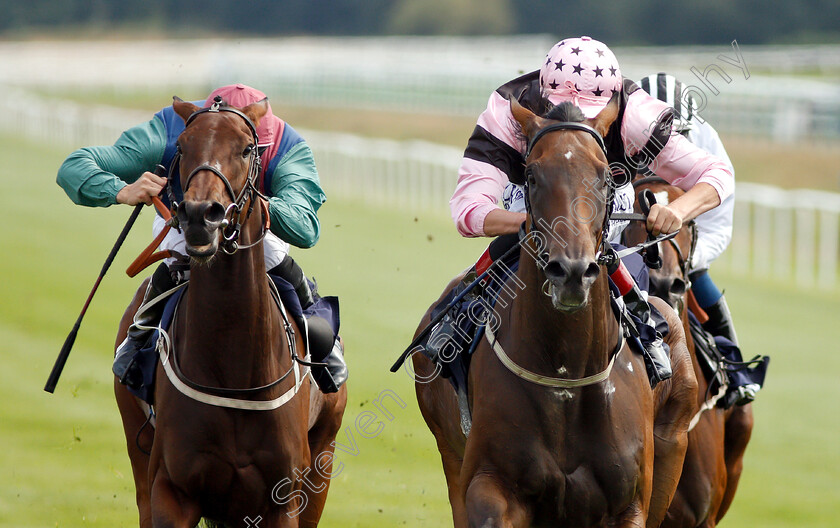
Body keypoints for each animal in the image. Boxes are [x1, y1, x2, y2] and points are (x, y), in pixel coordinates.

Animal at [113, 99, 346, 528]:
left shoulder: (284, 499)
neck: (234, 371)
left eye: (246, 149)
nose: (200, 214)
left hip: (324, 456)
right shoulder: (171, 489)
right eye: (182, 146)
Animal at [412, 98, 696, 524]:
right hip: (450, 452)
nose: (572, 271)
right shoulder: (489, 483)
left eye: (606, 177)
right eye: (531, 176)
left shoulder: (629, 504)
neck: (566, 375)